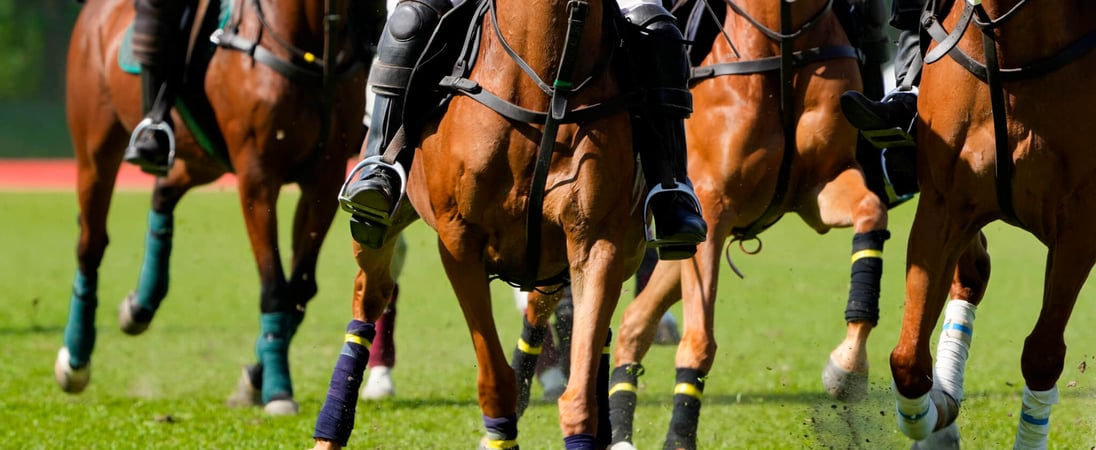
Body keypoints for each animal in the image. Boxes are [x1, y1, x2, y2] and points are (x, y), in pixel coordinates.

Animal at [55, 0, 370, 416]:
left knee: (163, 193)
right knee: (90, 245)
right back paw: (75, 359)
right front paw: (278, 390)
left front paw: (255, 379)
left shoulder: (325, 176)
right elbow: (274, 286)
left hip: (202, 157)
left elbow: (299, 289)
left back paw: (140, 306)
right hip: (95, 149)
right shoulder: (256, 176)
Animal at [309, 0, 644, 446]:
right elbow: (496, 383)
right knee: (370, 295)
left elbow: (580, 395)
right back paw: (330, 430)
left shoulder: (596, 243)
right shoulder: (459, 243)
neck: (548, 87)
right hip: (378, 224)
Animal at [604, 0, 894, 446]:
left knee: (634, 321)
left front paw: (849, 366)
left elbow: (870, 211)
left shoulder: (821, 187)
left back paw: (620, 431)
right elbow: (699, 340)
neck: (784, 43)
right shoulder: (712, 206)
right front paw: (679, 438)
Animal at [889, 0, 1096, 446]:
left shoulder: (1079, 222)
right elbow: (908, 361)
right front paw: (939, 419)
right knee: (973, 273)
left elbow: (1042, 354)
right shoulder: (943, 206)